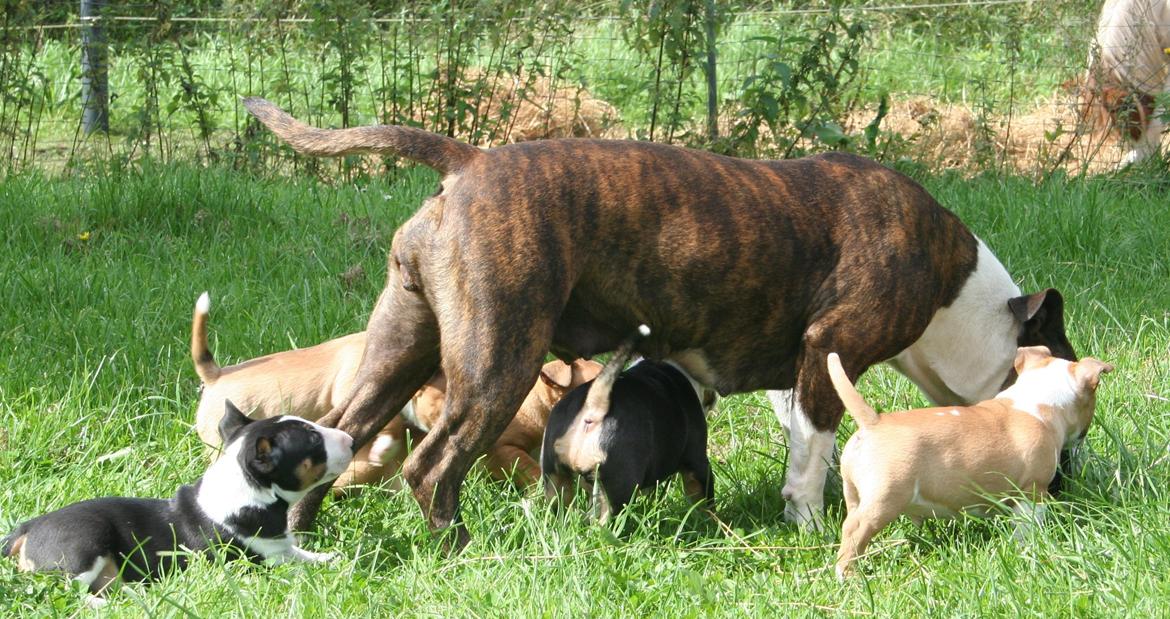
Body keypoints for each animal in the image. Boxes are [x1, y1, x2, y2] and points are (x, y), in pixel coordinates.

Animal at [0, 397, 351, 603]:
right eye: (313, 440)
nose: (350, 439)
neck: (247, 491)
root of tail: (26, 529)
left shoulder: (280, 546)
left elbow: (305, 554)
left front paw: (330, 557)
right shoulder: (261, 559)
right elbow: (296, 564)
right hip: (83, 546)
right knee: (69, 591)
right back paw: (105, 604)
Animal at [540, 325, 720, 519]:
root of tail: (594, 406)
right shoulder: (697, 463)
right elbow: (703, 500)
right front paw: (708, 521)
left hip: (554, 478)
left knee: (558, 508)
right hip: (616, 488)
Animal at [828, 344, 1109, 575]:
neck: (1038, 400)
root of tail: (873, 422)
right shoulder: (1032, 492)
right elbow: (1027, 524)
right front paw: (1030, 546)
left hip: (854, 492)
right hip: (884, 499)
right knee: (854, 532)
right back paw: (849, 575)